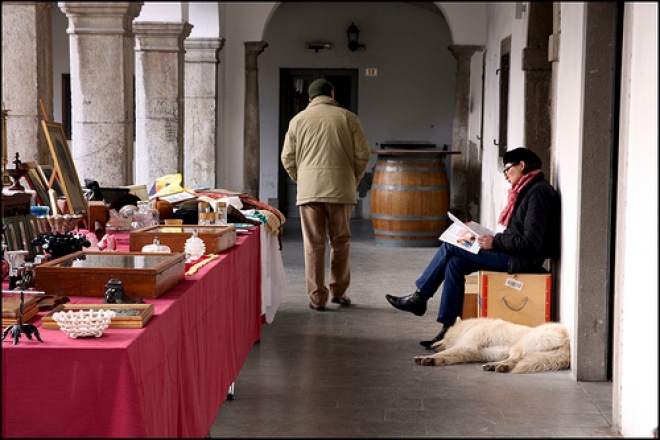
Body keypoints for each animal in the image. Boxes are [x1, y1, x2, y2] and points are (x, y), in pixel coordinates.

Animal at [416, 316, 568, 374]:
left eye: (442, 336)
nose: (430, 346)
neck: (469, 327)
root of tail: (568, 341)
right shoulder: (468, 352)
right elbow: (445, 357)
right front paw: (431, 360)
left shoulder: (466, 346)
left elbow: (443, 353)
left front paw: (424, 358)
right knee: (515, 361)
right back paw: (496, 366)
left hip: (518, 346)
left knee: (515, 359)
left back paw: (496, 366)